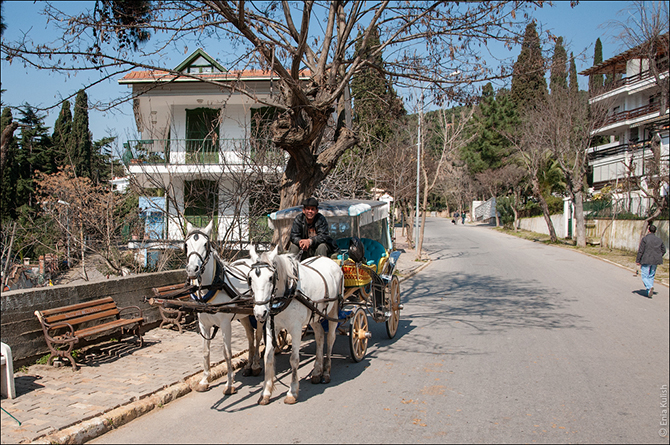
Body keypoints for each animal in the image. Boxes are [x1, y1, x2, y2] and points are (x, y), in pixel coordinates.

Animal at [188, 221, 266, 392]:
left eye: (205, 244)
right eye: (185, 244)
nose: (192, 270)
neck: (212, 286)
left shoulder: (225, 324)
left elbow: (227, 353)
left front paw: (229, 384)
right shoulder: (203, 324)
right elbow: (205, 351)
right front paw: (204, 380)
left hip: (258, 313)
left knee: (257, 336)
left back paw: (256, 365)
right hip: (243, 314)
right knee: (250, 336)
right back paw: (248, 366)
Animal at [248, 245, 346, 404]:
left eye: (270, 277)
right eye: (250, 278)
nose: (259, 313)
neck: (287, 293)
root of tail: (330, 261)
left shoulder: (296, 329)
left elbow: (294, 360)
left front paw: (292, 392)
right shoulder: (271, 326)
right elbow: (268, 357)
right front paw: (265, 392)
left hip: (333, 311)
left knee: (330, 339)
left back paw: (326, 372)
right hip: (315, 315)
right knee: (320, 336)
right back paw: (317, 371)